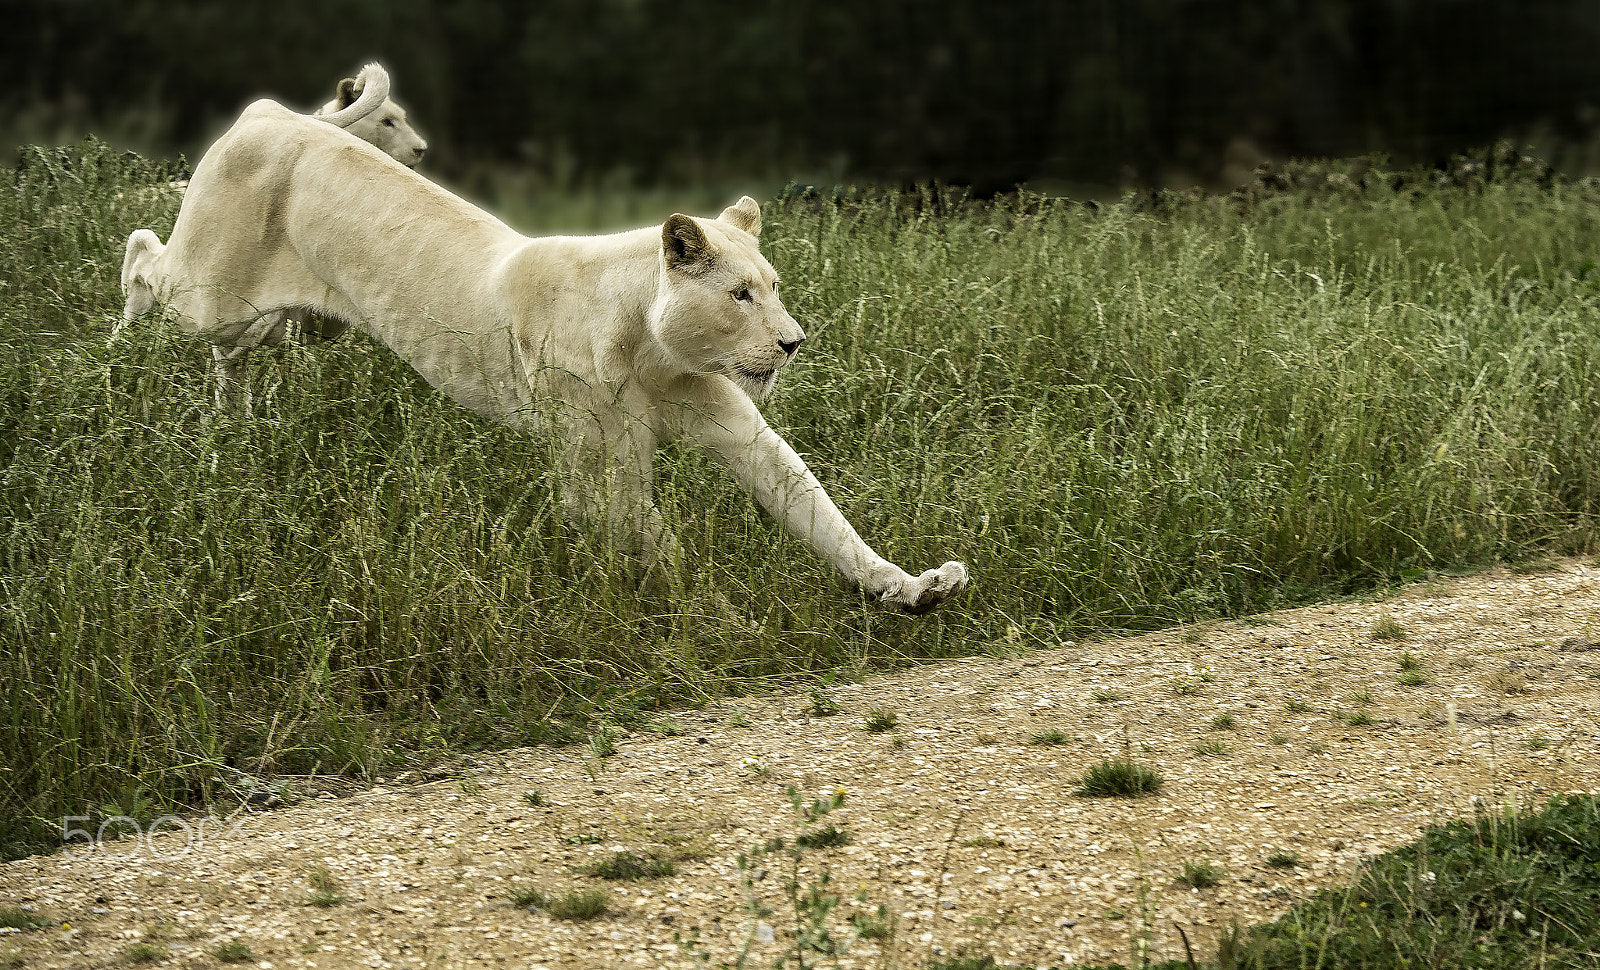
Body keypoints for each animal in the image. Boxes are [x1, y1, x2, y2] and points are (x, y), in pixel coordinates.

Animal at [118, 90, 969, 613]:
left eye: (774, 286)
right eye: (739, 295)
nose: (793, 343)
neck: (656, 349)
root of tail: (266, 112)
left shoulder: (737, 429)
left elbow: (821, 513)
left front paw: (911, 587)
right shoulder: (596, 465)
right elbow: (657, 540)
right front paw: (717, 611)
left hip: (282, 322)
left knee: (232, 359)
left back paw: (232, 430)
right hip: (210, 295)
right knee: (143, 255)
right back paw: (115, 352)